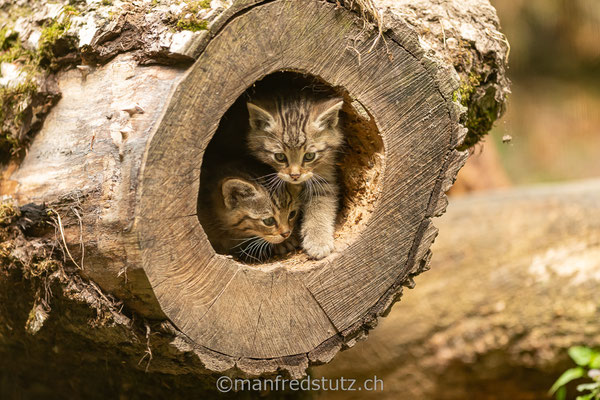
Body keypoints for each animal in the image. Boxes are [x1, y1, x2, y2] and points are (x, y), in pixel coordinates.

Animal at [246, 94, 344, 260]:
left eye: (309, 156)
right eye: (279, 157)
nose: (295, 175)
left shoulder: (324, 177)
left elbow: (321, 204)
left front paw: (318, 240)